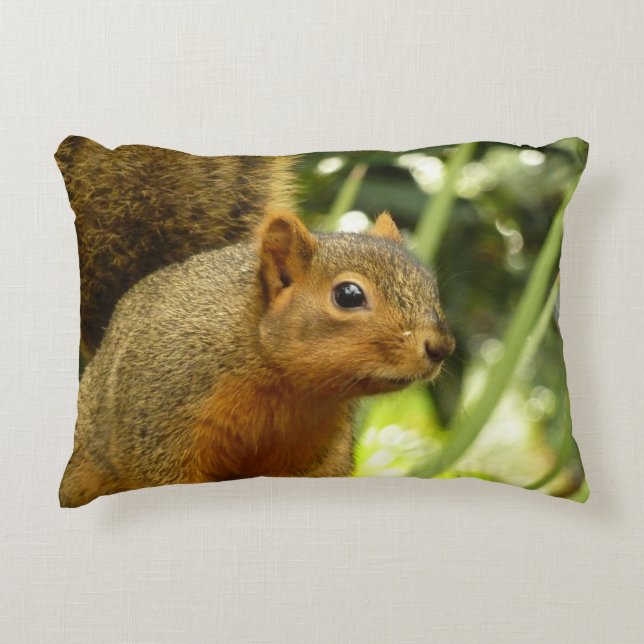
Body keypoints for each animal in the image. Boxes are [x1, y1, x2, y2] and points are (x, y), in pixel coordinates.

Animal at [56, 137, 455, 507]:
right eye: (349, 295)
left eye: (430, 285)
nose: (442, 347)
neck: (287, 387)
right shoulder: (160, 417)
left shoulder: (317, 456)